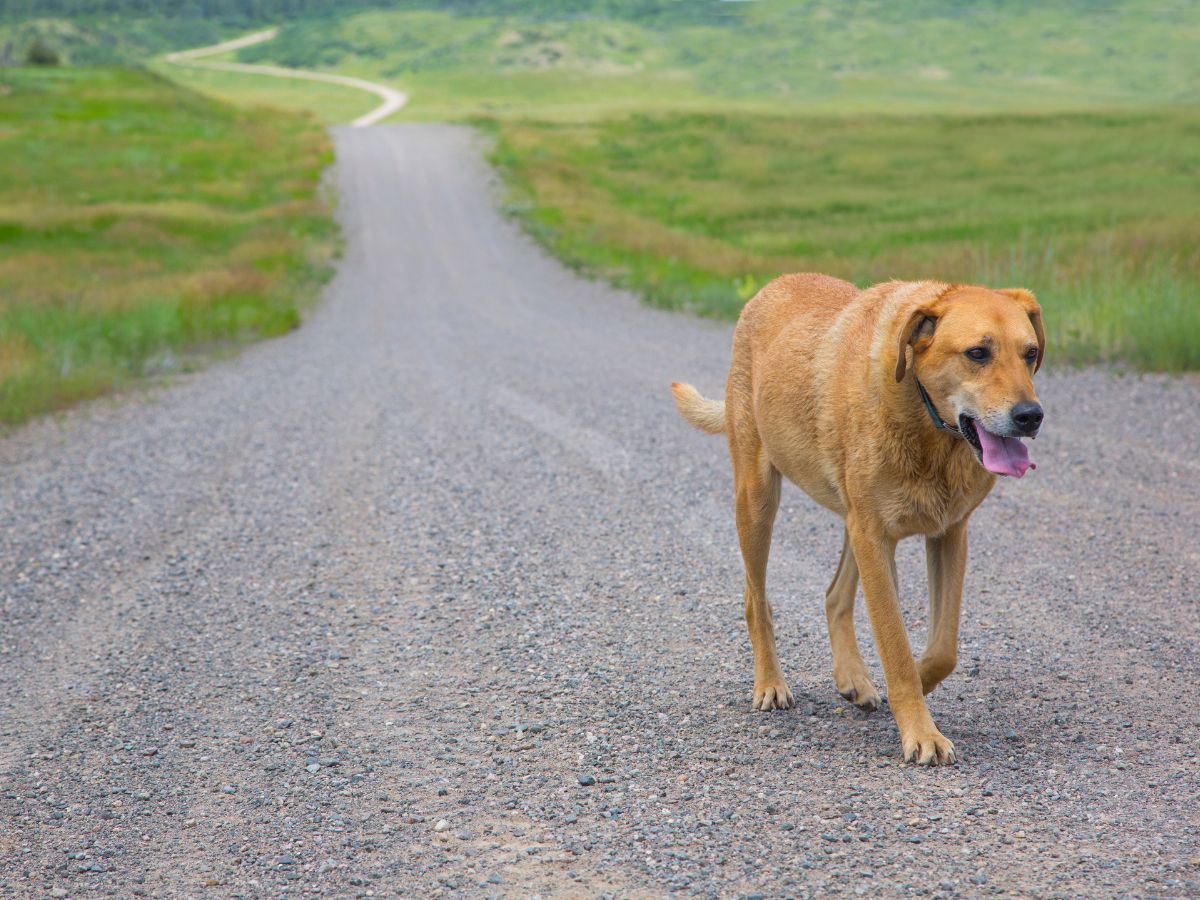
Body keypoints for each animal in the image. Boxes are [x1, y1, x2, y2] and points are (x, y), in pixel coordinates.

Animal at [672, 274, 1046, 768]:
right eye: (977, 353)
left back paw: (854, 678)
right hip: (759, 501)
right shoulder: (874, 537)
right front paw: (920, 730)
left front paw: (913, 685)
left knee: (834, 595)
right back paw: (770, 683)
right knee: (756, 600)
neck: (927, 425)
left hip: (855, 522)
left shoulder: (947, 534)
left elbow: (942, 649)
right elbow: (895, 644)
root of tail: (772, 285)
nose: (1030, 416)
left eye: (1030, 353)